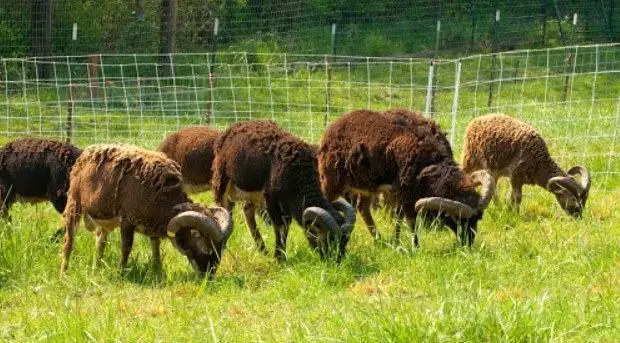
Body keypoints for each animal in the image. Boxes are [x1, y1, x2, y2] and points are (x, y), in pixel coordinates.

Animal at [60, 144, 231, 276]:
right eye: (206, 247)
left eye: (221, 248)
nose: (209, 275)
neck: (159, 194)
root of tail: (84, 156)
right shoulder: (127, 221)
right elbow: (126, 247)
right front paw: (121, 273)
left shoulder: (152, 229)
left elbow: (156, 250)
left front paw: (158, 271)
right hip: (74, 207)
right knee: (69, 241)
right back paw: (64, 273)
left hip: (104, 225)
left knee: (100, 243)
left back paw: (96, 270)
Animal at [212, 120, 354, 260]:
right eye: (330, 239)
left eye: (346, 240)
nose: (337, 261)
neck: (299, 173)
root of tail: (232, 127)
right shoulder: (271, 199)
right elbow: (280, 226)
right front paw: (279, 258)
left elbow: (286, 225)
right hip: (221, 181)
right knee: (224, 209)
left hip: (253, 195)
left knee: (248, 211)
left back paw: (263, 250)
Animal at [318, 109, 496, 246]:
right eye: (455, 219)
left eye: (478, 218)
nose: (468, 243)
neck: (430, 164)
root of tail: (332, 127)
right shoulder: (406, 194)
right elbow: (410, 221)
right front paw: (415, 247)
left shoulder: (401, 193)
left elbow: (399, 218)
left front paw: (396, 244)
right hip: (332, 180)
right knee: (328, 200)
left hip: (366, 186)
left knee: (362, 208)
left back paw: (379, 240)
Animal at [460, 114, 592, 219]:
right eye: (573, 199)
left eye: (585, 201)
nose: (578, 217)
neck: (539, 163)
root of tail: (476, 120)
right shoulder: (515, 178)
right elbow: (517, 198)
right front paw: (514, 214)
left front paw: (509, 212)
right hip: (471, 159)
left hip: (493, 170)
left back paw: (498, 207)